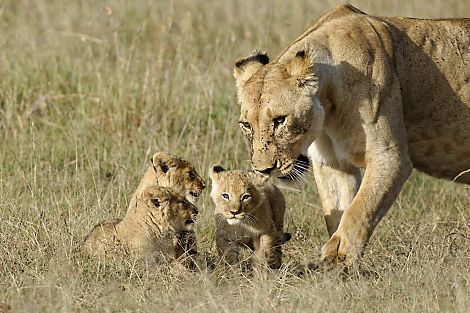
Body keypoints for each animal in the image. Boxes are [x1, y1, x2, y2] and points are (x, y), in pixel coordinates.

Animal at [235, 4, 470, 264]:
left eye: (279, 120)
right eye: (246, 125)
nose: (263, 170)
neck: (328, 99)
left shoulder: (389, 157)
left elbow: (361, 207)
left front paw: (338, 253)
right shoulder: (332, 162)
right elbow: (339, 208)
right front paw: (337, 264)